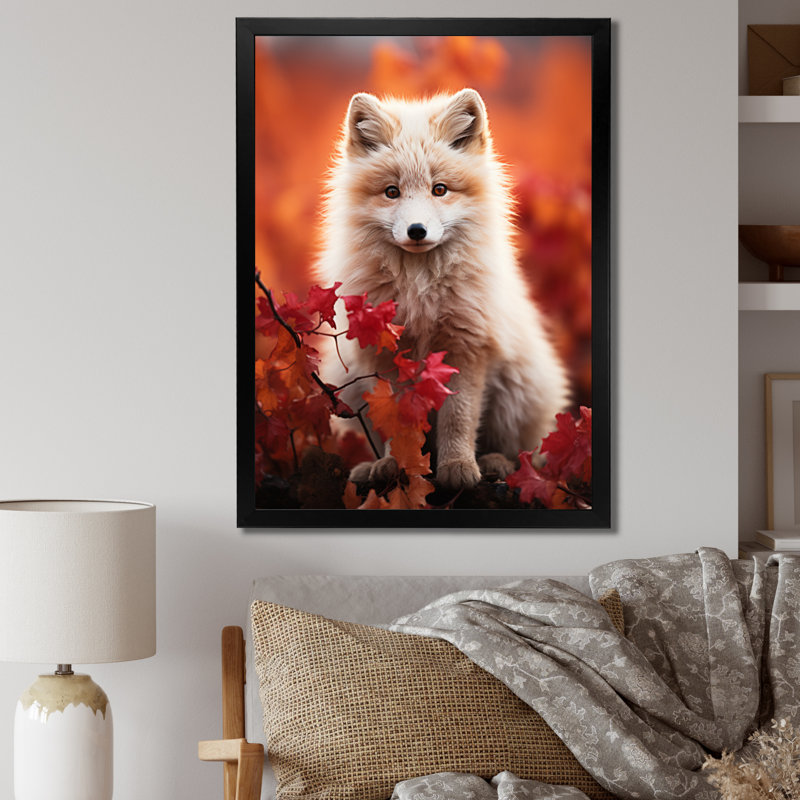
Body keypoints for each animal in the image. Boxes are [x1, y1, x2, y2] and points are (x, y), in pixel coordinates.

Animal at [317, 88, 569, 491]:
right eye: (392, 192)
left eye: (440, 190)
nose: (417, 230)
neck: (420, 289)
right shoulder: (388, 357)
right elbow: (397, 424)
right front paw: (396, 466)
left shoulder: (466, 347)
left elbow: (458, 418)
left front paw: (458, 467)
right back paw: (371, 467)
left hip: (517, 393)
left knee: (525, 453)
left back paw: (497, 464)